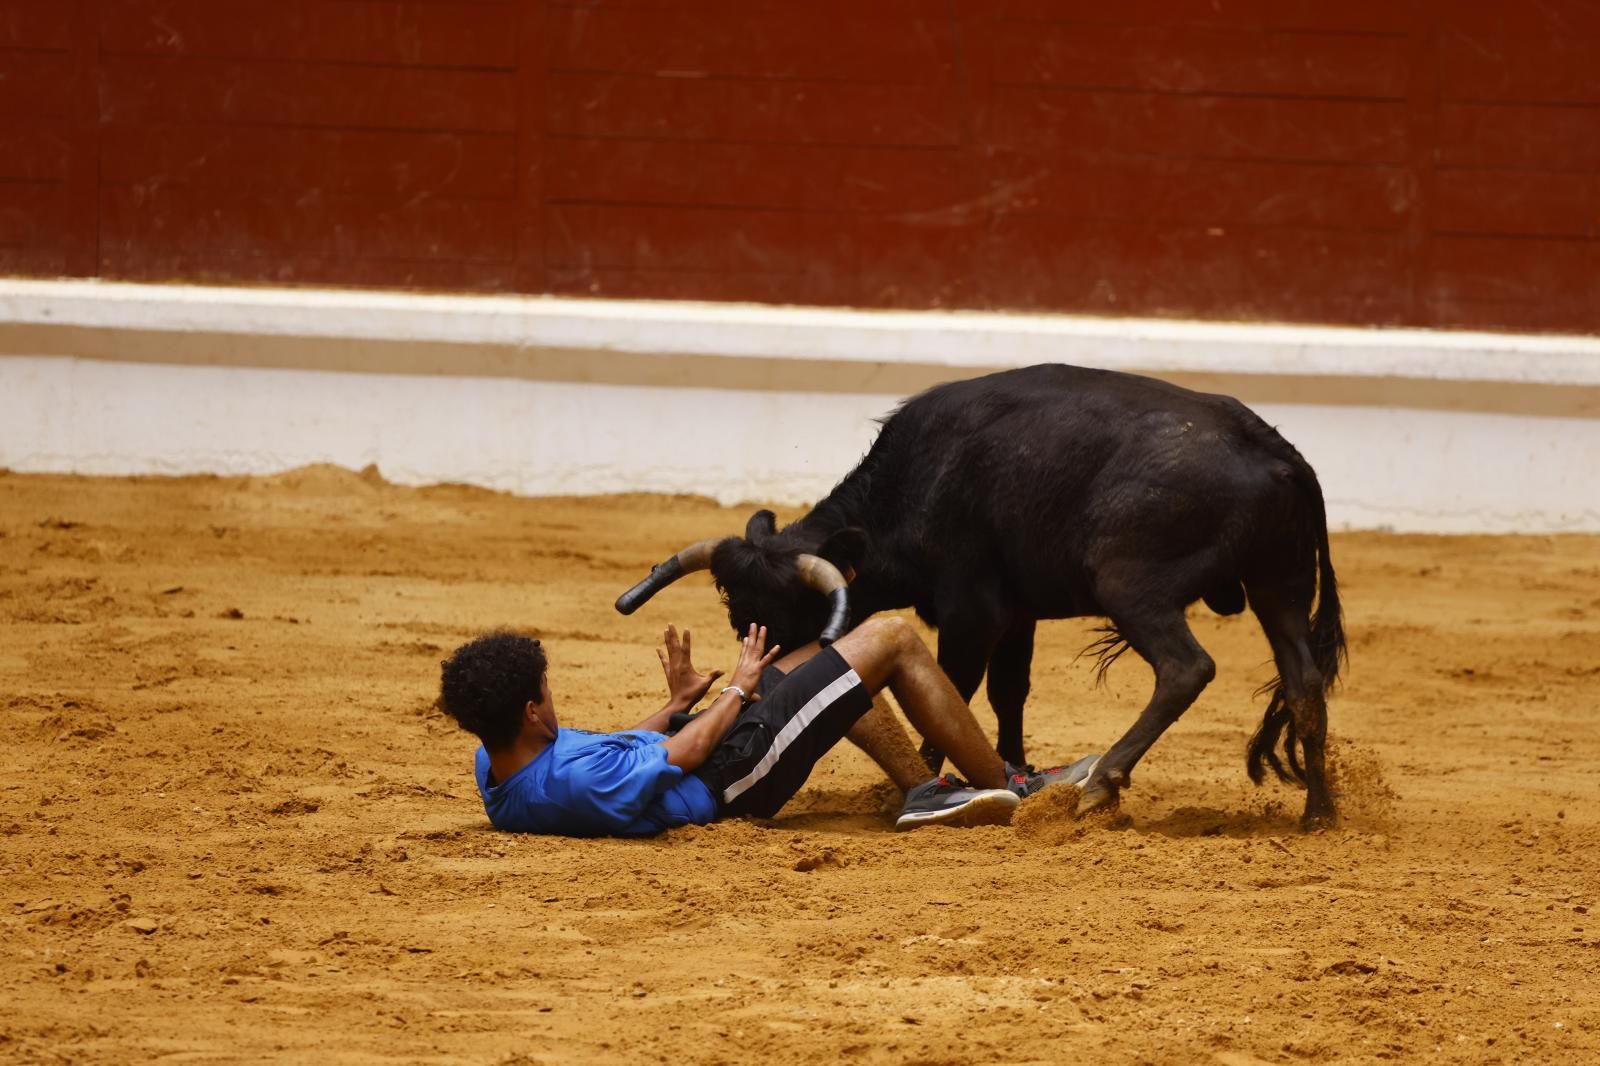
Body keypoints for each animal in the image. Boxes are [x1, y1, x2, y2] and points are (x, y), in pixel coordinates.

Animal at [617, 361, 1344, 825]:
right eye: (735, 608)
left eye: (779, 611)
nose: (764, 664)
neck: (916, 485)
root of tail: (1276, 449)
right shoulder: (1015, 614)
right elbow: (1008, 690)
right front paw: (1015, 766)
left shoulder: (971, 610)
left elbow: (957, 684)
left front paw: (932, 773)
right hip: (1278, 585)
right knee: (1304, 679)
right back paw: (1318, 811)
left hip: (1131, 585)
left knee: (1186, 667)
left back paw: (1103, 784)